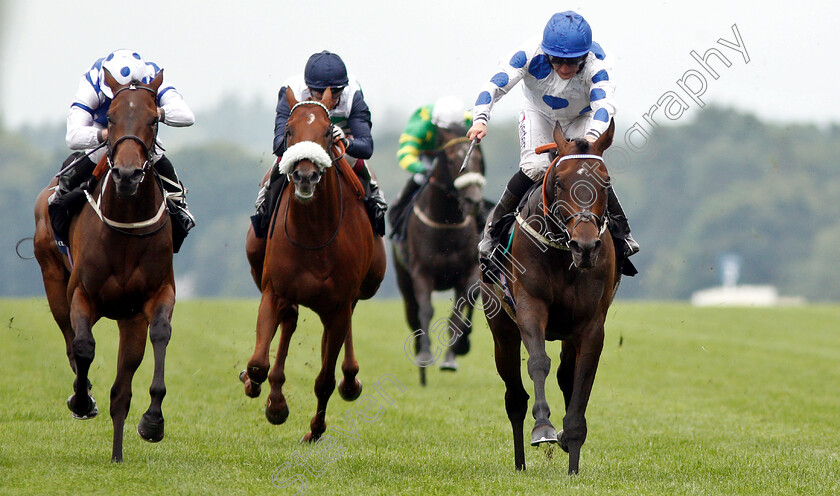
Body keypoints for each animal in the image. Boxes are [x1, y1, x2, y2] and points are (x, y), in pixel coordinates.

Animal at [33, 69, 176, 462]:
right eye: (109, 118)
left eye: (154, 119)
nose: (127, 174)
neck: (126, 222)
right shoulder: (82, 294)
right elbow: (83, 347)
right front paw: (82, 401)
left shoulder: (157, 294)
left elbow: (160, 333)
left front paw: (153, 422)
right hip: (54, 282)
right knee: (70, 340)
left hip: (128, 318)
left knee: (121, 391)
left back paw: (117, 453)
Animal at [240, 87, 388, 440]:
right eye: (289, 131)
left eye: (328, 133)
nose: (305, 175)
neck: (314, 233)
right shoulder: (274, 292)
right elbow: (258, 363)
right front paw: (260, 390)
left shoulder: (339, 304)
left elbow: (325, 380)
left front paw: (316, 429)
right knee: (290, 323)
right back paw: (274, 398)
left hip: (362, 288)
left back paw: (350, 380)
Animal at [392, 131, 486, 384]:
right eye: (452, 160)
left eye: (478, 158)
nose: (474, 201)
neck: (447, 223)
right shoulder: (421, 274)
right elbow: (426, 310)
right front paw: (424, 354)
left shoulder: (468, 273)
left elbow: (459, 310)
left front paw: (451, 357)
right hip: (403, 281)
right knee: (412, 314)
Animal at [480, 119, 624, 472]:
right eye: (559, 182)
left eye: (606, 182)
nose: (585, 247)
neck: (561, 253)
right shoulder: (530, 307)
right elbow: (538, 362)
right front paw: (543, 427)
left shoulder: (591, 325)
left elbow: (580, 380)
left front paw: (571, 450)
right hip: (501, 329)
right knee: (515, 397)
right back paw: (520, 462)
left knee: (565, 376)